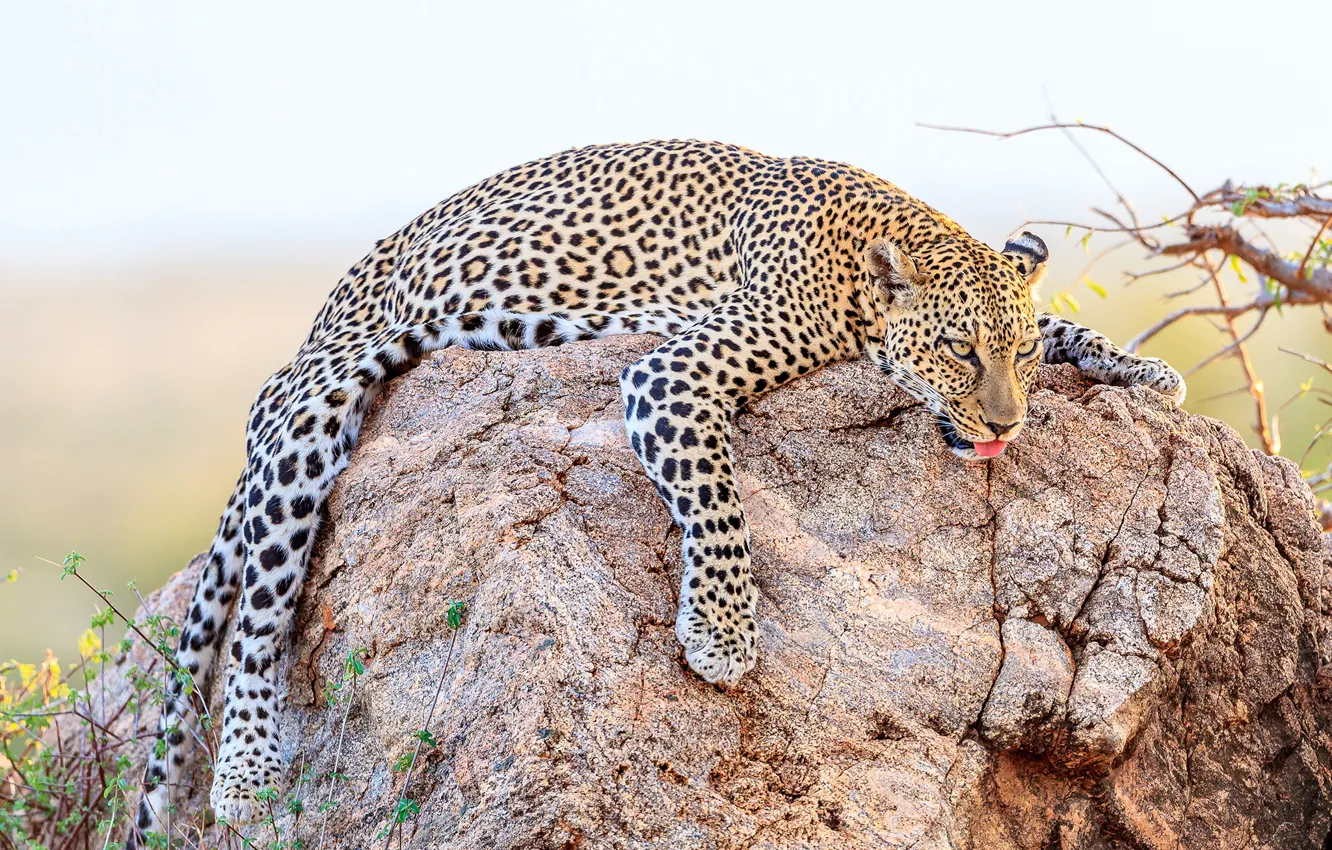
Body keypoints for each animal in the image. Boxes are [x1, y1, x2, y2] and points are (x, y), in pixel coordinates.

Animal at [127, 139, 1185, 845]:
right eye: (960, 352)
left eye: (1014, 355)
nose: (1006, 426)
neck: (870, 251)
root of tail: (319, 316)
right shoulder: (672, 375)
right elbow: (719, 505)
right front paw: (722, 633)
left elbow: (1067, 324)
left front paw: (1137, 367)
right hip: (314, 413)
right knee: (259, 612)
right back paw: (247, 773)